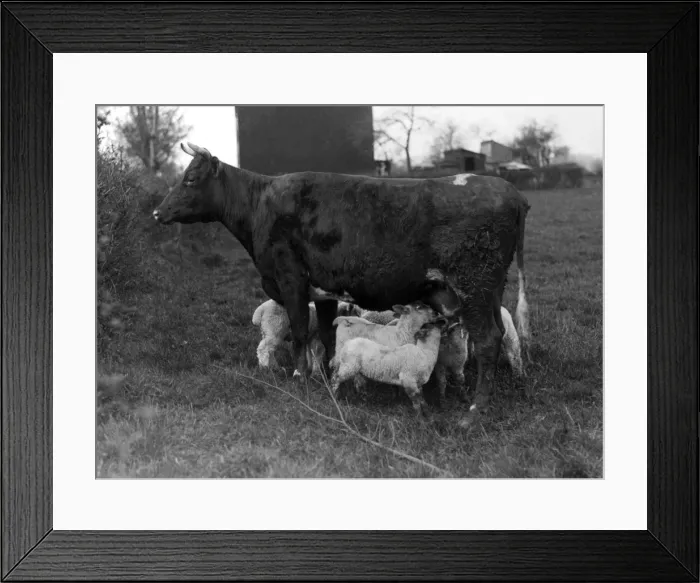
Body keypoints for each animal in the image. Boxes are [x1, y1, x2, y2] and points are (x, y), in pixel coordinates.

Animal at [153, 142, 531, 425]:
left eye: (190, 178)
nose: (157, 212)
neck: (261, 205)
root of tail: (508, 189)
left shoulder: (291, 279)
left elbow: (300, 332)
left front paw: (300, 378)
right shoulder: (324, 292)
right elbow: (326, 335)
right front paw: (328, 379)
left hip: (473, 286)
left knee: (488, 340)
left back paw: (474, 413)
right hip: (489, 291)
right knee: (499, 335)